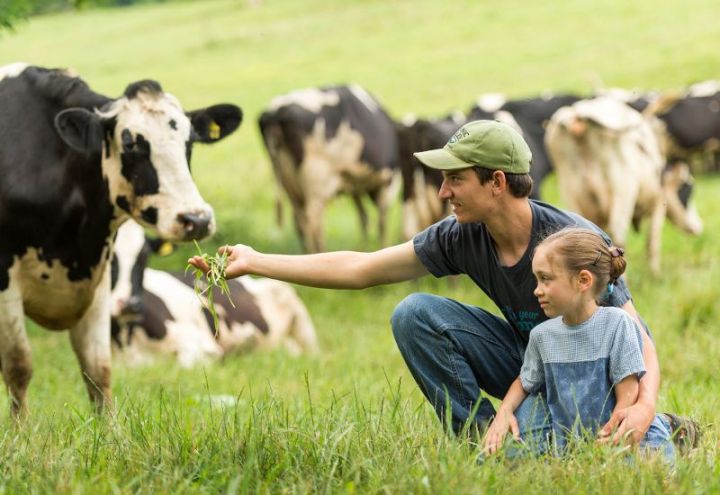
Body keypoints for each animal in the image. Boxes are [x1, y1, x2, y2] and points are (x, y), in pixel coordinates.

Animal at [0, 62, 242, 414]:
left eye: (190, 141)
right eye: (130, 143)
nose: (196, 219)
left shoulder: (97, 280)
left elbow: (98, 368)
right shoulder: (5, 282)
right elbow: (19, 367)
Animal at [258, 84, 400, 252]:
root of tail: (276, 112)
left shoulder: (354, 183)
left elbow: (363, 216)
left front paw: (364, 246)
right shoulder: (387, 181)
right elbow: (382, 221)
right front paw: (381, 246)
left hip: (289, 184)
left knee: (300, 223)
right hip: (317, 180)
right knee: (314, 224)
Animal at [544, 97, 704, 276]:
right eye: (688, 189)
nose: (698, 226)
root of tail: (579, 114)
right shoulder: (658, 202)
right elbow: (652, 239)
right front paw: (655, 274)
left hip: (571, 192)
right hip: (622, 193)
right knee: (618, 238)